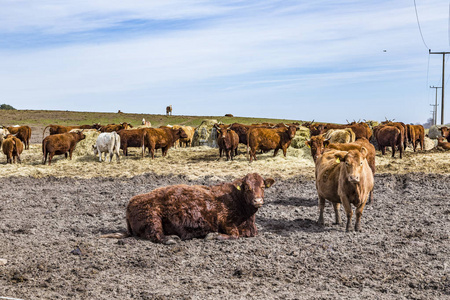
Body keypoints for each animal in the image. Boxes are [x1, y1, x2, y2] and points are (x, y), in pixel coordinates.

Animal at [105, 173, 274, 244]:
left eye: (263, 186)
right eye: (247, 188)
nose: (258, 200)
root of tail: (131, 202)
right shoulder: (225, 221)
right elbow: (234, 235)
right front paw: (212, 235)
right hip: (152, 216)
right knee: (155, 235)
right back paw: (171, 239)